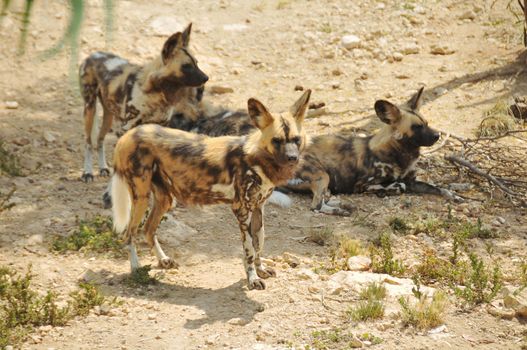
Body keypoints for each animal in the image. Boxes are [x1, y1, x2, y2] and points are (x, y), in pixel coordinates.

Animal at [79, 23, 207, 182]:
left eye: (197, 63)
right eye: (186, 66)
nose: (206, 78)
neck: (157, 96)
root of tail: (93, 55)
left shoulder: (158, 128)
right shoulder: (125, 129)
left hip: (108, 114)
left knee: (100, 140)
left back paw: (103, 168)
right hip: (89, 109)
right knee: (88, 142)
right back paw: (87, 172)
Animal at [110, 90, 312, 290]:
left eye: (296, 139)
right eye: (276, 141)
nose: (292, 158)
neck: (258, 160)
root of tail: (129, 134)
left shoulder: (258, 208)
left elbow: (259, 243)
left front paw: (260, 270)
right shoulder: (241, 211)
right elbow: (249, 250)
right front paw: (252, 279)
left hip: (164, 199)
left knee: (148, 229)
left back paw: (164, 260)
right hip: (141, 197)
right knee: (129, 234)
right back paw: (135, 268)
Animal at [284, 86, 462, 215]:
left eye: (426, 123)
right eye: (417, 127)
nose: (437, 135)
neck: (401, 154)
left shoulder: (412, 180)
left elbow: (435, 187)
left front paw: (454, 195)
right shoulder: (363, 185)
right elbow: (398, 186)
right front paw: (387, 190)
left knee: (323, 198)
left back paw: (340, 202)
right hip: (322, 175)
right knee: (316, 206)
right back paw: (341, 210)